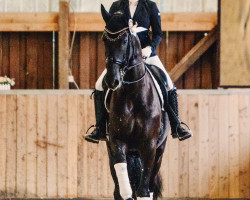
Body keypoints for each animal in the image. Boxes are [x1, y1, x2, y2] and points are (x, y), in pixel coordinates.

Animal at [101, 5, 170, 200]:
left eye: (125, 40)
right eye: (104, 40)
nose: (112, 80)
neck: (133, 94)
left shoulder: (149, 146)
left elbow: (144, 190)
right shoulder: (116, 142)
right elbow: (125, 190)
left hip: (159, 152)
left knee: (151, 185)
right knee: (118, 187)